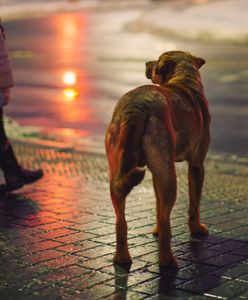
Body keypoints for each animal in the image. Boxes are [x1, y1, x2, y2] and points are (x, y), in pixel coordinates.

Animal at [104, 50, 209, 266]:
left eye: (157, 61)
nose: (146, 62)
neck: (184, 79)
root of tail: (135, 108)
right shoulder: (197, 165)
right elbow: (194, 203)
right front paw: (197, 229)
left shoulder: (156, 173)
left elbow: (159, 205)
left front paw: (157, 232)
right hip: (170, 177)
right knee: (166, 220)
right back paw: (168, 261)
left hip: (120, 174)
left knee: (121, 221)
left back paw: (121, 258)